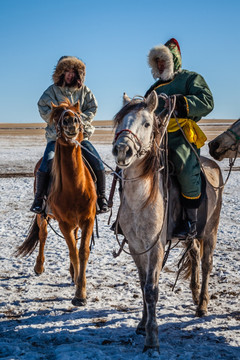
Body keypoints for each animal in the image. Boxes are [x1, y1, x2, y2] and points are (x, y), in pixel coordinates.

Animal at [16, 99, 97, 306]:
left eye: (78, 113)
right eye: (56, 115)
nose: (71, 121)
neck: (75, 186)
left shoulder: (88, 220)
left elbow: (82, 252)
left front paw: (80, 289)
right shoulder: (64, 223)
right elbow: (72, 251)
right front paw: (78, 293)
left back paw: (72, 273)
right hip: (42, 215)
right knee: (43, 235)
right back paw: (39, 267)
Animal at [112, 91, 223, 352]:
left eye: (146, 123)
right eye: (120, 121)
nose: (122, 150)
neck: (140, 199)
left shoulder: (156, 247)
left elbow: (152, 290)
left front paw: (152, 341)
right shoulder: (136, 247)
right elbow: (143, 285)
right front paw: (142, 325)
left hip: (211, 231)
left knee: (206, 264)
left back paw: (202, 305)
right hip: (192, 235)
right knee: (194, 255)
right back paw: (195, 295)